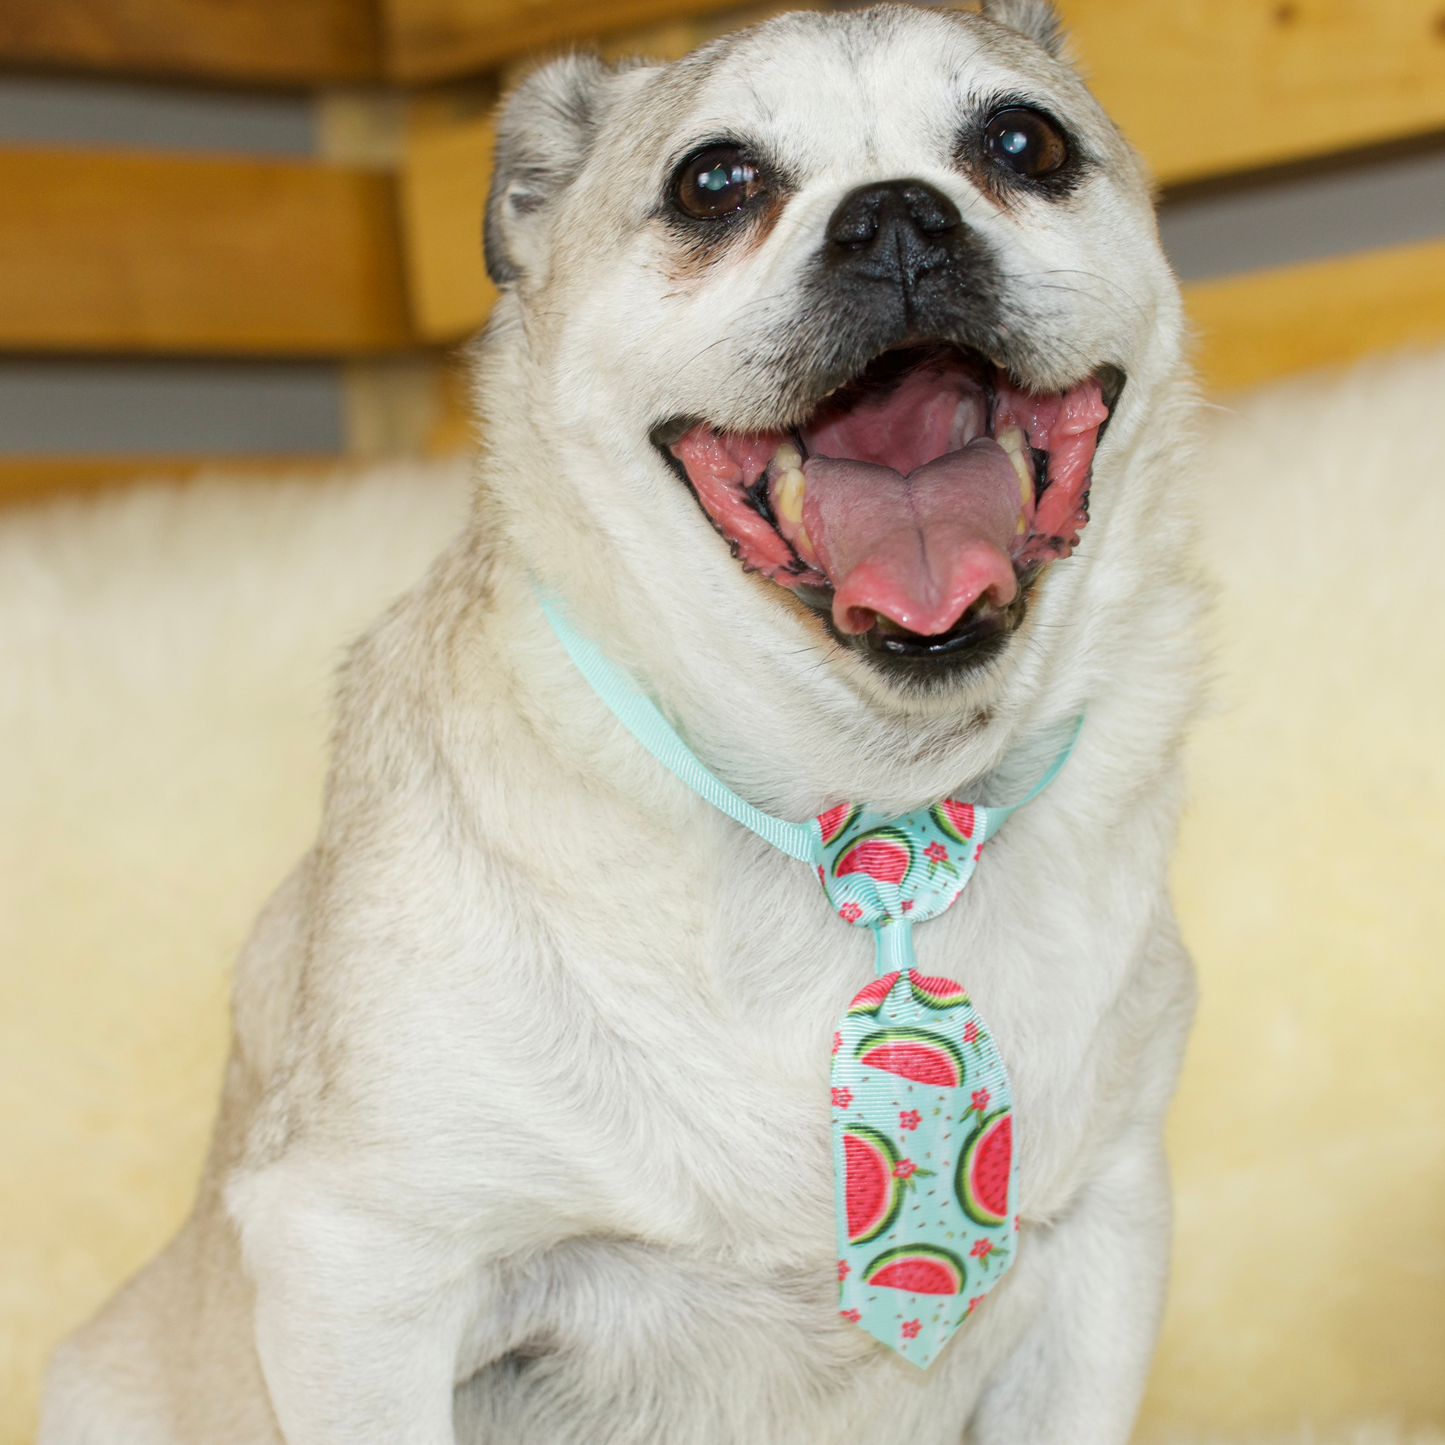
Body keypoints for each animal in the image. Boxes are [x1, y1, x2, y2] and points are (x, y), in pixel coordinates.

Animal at [39, 5, 1202, 1439]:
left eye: (1023, 145)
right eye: (714, 184)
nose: (896, 216)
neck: (872, 817)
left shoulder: (1104, 1246)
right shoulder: (360, 1268)